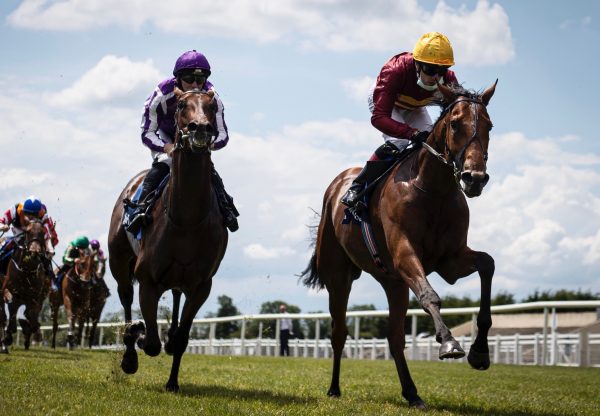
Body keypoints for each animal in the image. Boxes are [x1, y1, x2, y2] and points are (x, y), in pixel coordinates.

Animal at [0, 219, 50, 352]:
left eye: (43, 232)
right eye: (28, 231)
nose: (34, 252)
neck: (26, 270)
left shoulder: (35, 297)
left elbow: (32, 319)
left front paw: (33, 332)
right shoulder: (14, 293)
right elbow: (12, 316)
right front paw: (7, 338)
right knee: (3, 315)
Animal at [108, 89, 227, 392]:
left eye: (212, 107)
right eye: (182, 104)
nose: (200, 129)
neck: (186, 220)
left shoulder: (201, 285)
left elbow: (182, 338)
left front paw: (172, 381)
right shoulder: (147, 280)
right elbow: (150, 342)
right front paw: (137, 337)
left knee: (175, 296)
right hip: (119, 262)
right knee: (126, 297)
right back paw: (130, 349)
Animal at [302, 79, 500, 408]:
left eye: (489, 125)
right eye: (455, 124)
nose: (474, 178)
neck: (433, 189)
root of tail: (338, 183)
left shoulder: (451, 260)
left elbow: (487, 264)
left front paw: (480, 352)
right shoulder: (405, 254)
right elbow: (430, 296)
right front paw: (449, 342)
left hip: (393, 282)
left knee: (395, 339)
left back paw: (412, 392)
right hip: (339, 277)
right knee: (339, 332)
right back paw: (334, 389)